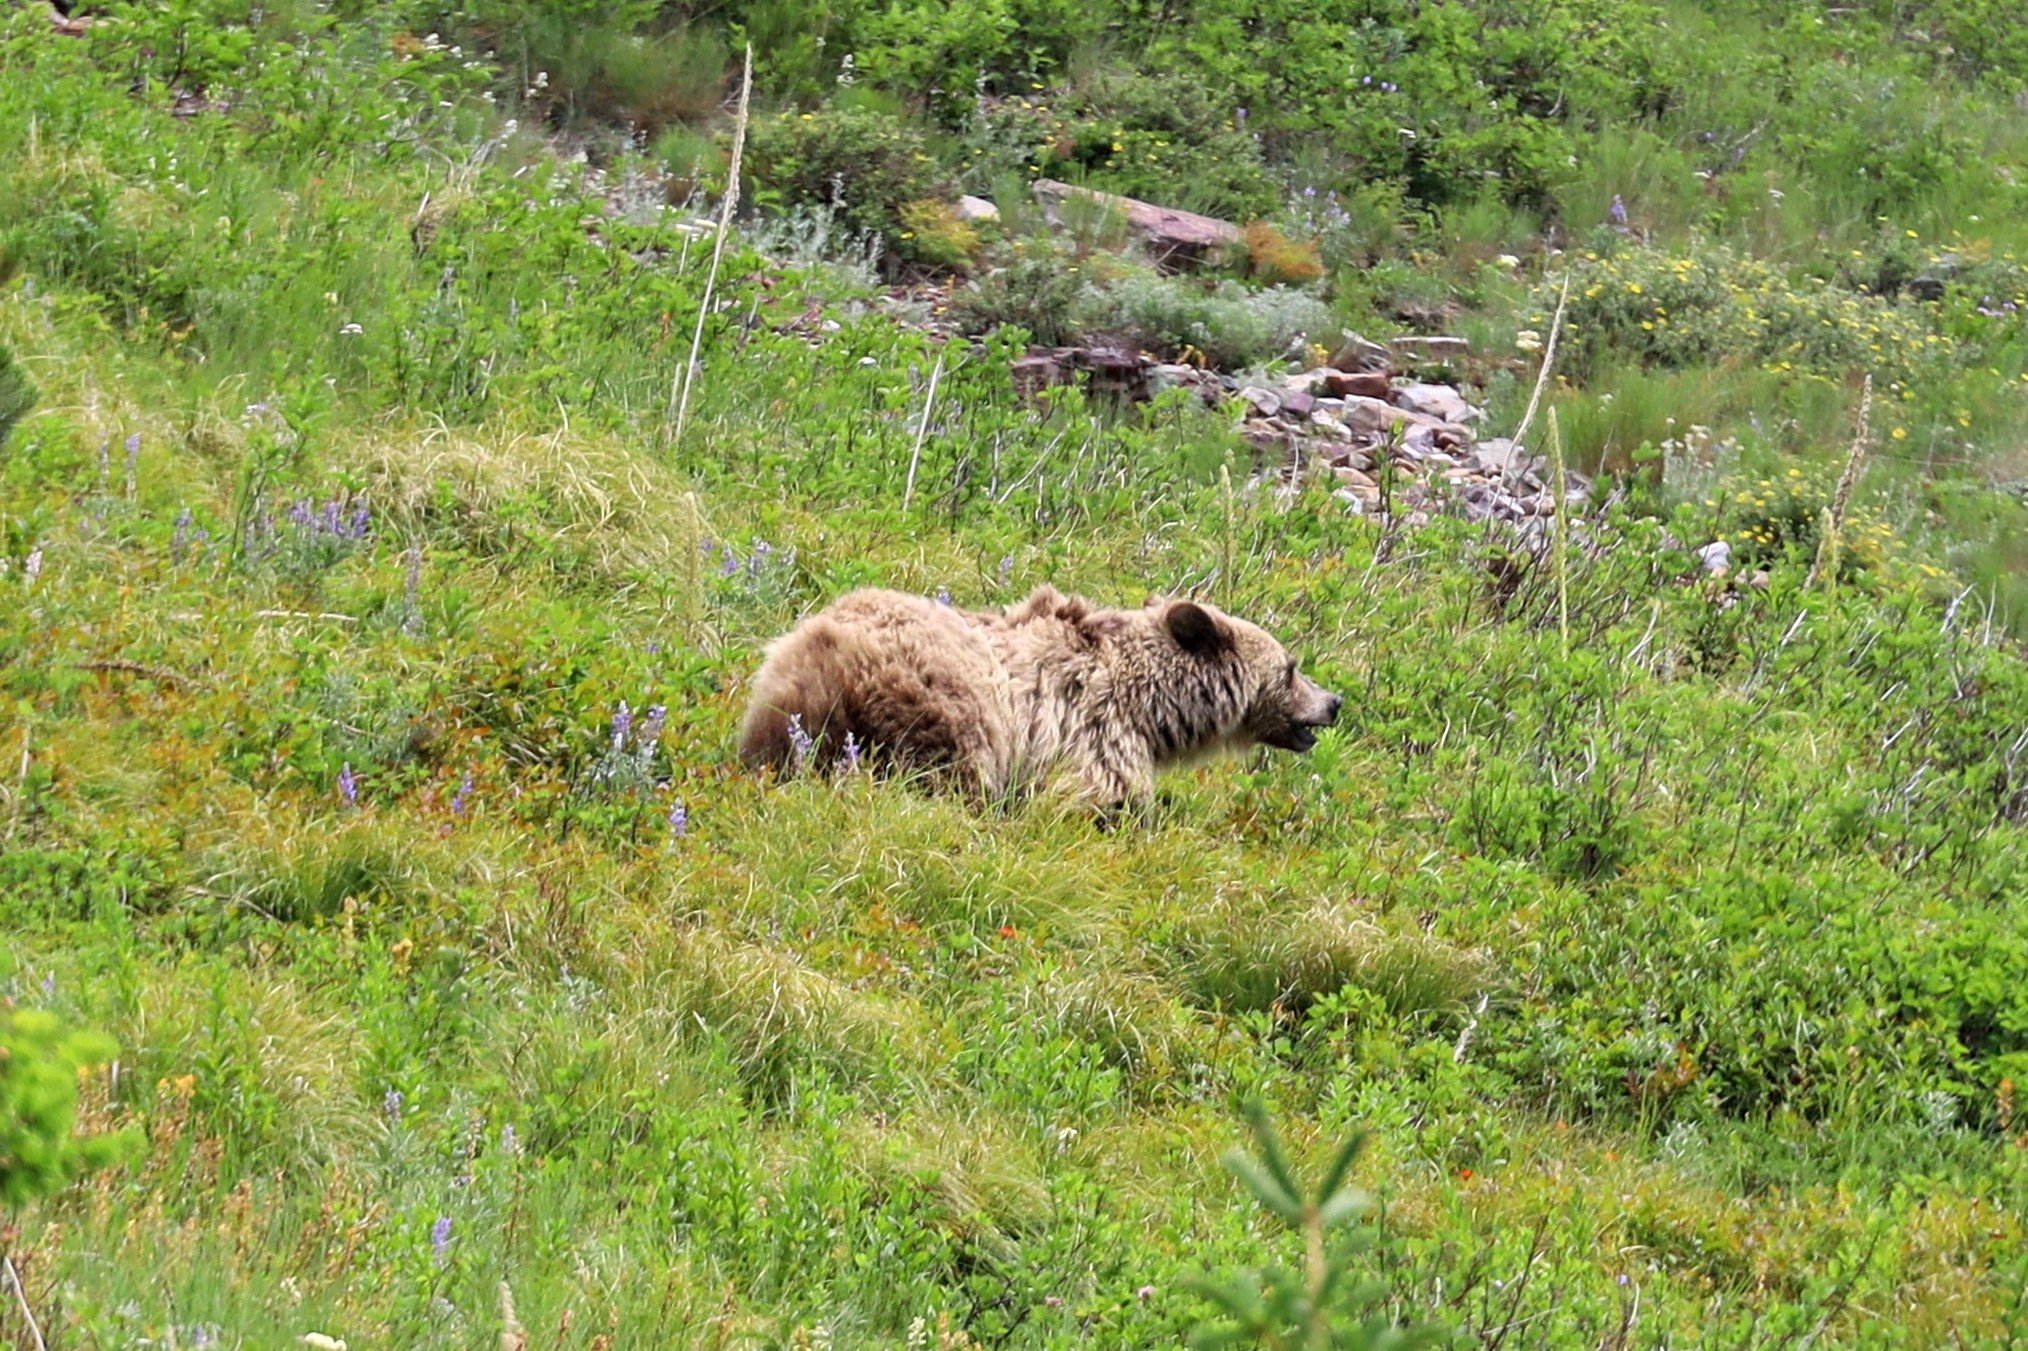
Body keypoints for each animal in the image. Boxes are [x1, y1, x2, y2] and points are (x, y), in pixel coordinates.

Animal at [738, 580, 1338, 811]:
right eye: (1292, 668)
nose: (1334, 702)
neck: (1153, 705)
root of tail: (826, 652)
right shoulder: (1095, 727)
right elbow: (1104, 793)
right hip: (949, 700)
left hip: (782, 702)